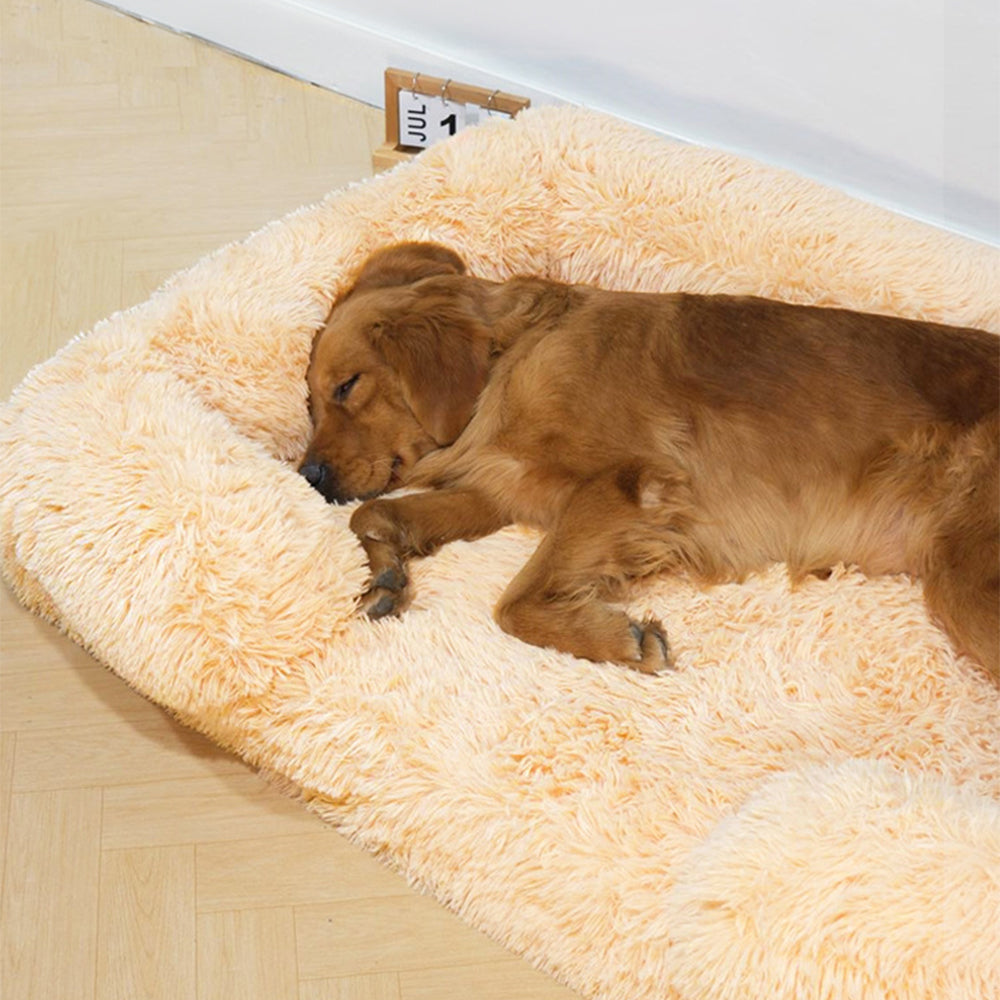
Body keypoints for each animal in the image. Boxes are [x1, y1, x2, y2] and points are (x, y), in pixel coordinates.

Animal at [298, 243, 1000, 680]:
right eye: (309, 401)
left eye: (347, 387)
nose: (310, 476)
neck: (516, 359)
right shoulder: (498, 493)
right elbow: (374, 517)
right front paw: (384, 577)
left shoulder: (621, 485)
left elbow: (514, 603)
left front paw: (616, 641)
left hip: (964, 581)